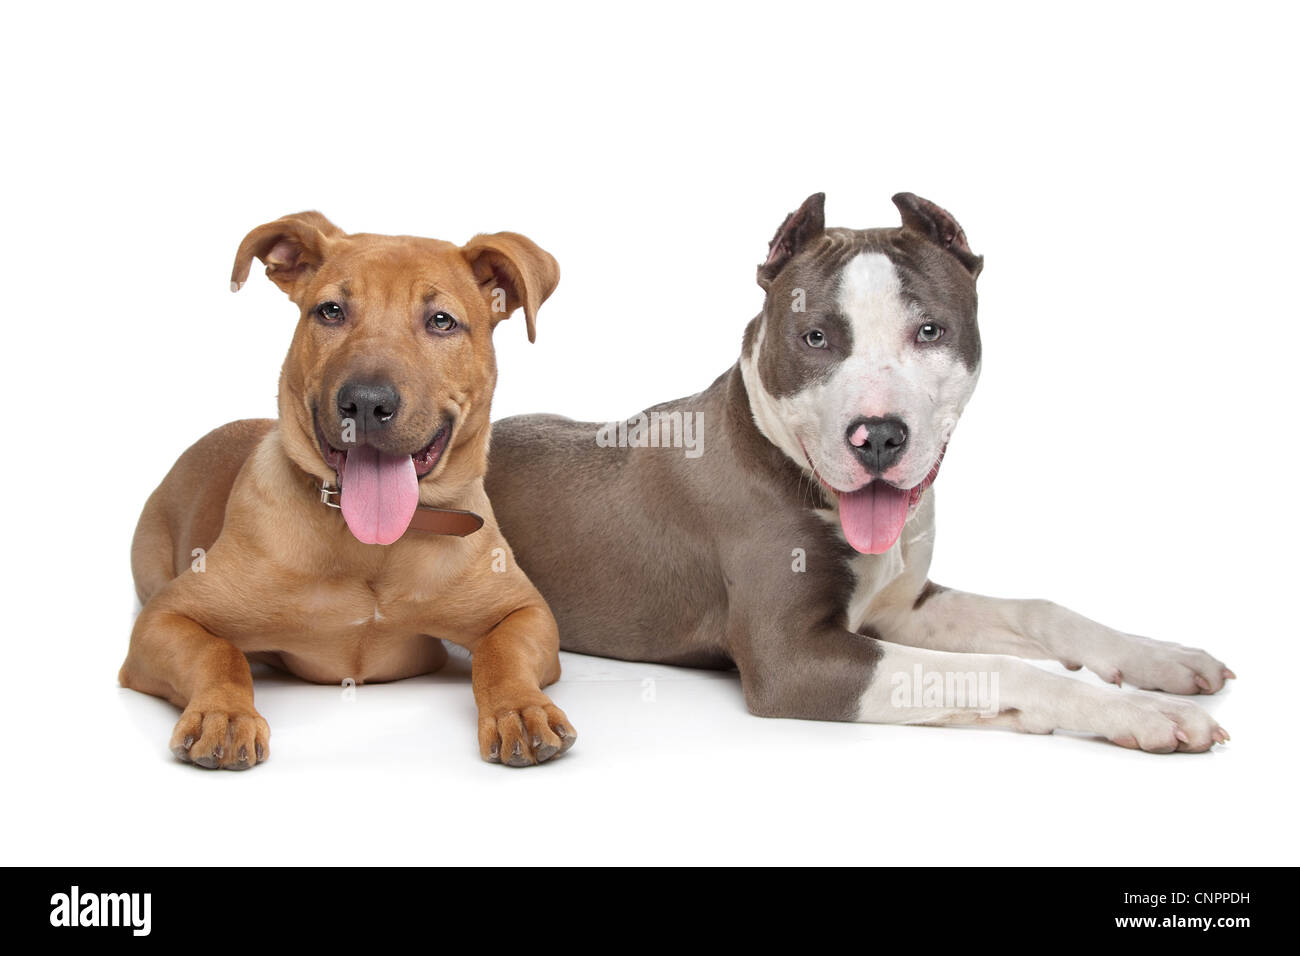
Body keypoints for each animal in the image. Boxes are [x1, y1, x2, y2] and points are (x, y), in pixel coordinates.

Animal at [122, 210, 574, 770]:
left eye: (441, 321)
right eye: (331, 311)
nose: (365, 403)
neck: (372, 549)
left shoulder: (526, 614)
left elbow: (501, 652)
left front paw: (520, 709)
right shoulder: (166, 617)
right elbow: (218, 651)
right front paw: (223, 714)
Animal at [486, 195, 1227, 754]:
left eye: (930, 331)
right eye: (815, 337)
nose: (879, 436)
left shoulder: (900, 607)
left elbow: (1039, 610)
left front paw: (1162, 661)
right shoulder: (794, 659)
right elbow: (998, 667)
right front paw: (1142, 713)